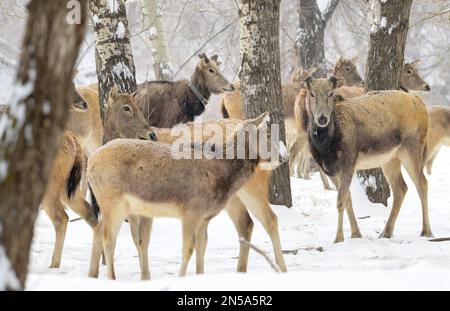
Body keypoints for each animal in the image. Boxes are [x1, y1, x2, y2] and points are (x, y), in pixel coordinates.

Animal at [87, 112, 288, 280]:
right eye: (267, 135)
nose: (283, 157)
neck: (220, 174)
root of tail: (90, 162)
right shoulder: (191, 211)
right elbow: (188, 248)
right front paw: (181, 277)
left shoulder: (205, 217)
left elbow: (201, 247)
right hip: (113, 202)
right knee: (108, 239)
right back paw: (111, 278)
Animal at [302, 77, 432, 244]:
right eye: (312, 93)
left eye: (330, 93)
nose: (322, 118)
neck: (326, 147)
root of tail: (421, 103)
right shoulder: (331, 170)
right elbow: (348, 199)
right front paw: (356, 233)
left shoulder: (348, 162)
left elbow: (340, 201)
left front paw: (338, 238)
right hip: (390, 159)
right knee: (401, 188)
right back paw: (386, 232)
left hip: (411, 147)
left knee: (422, 183)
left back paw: (426, 231)